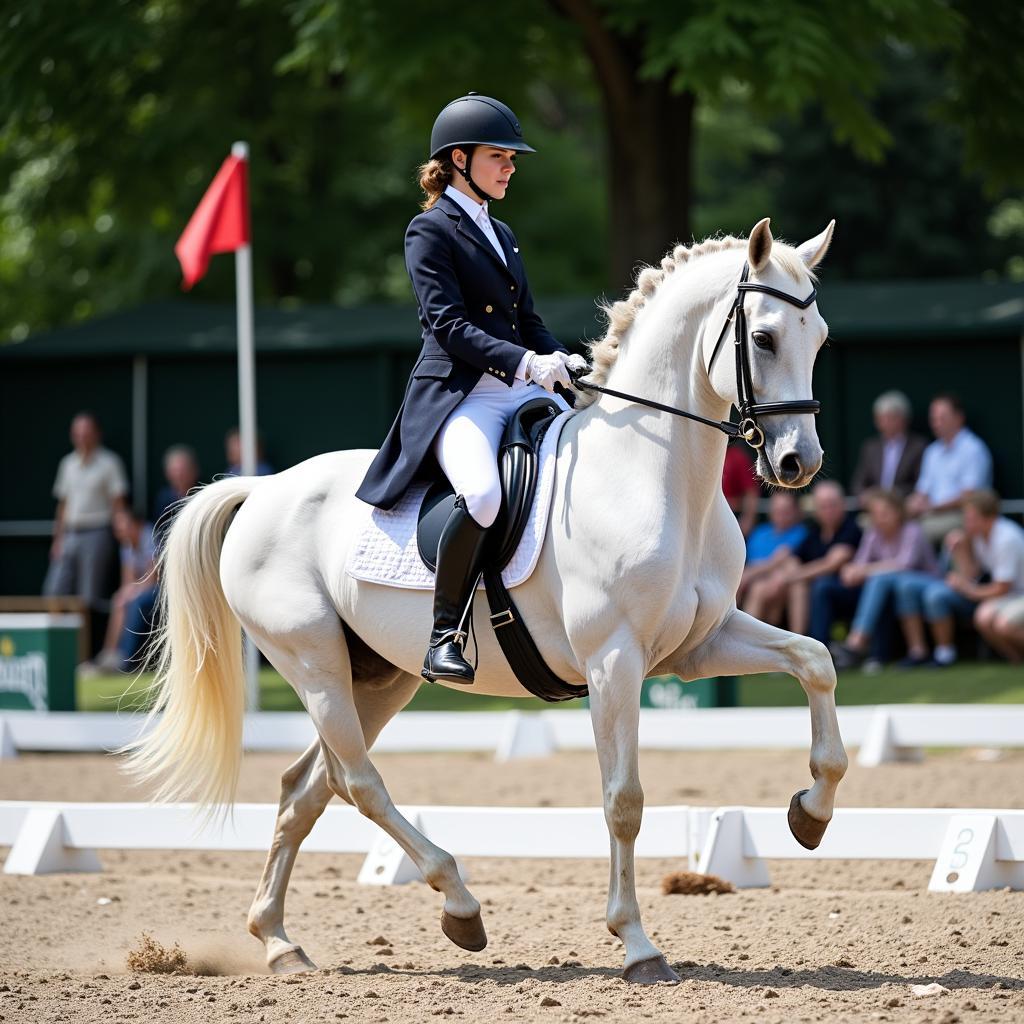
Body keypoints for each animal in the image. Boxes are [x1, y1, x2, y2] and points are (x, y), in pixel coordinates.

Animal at [125, 216, 847, 983]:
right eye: (763, 337)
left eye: (821, 338)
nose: (799, 463)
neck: (654, 479)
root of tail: (263, 488)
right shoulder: (614, 661)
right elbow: (623, 800)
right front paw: (638, 945)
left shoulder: (697, 646)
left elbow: (815, 661)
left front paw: (810, 813)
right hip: (313, 664)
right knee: (357, 783)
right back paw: (459, 905)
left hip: (377, 678)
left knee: (304, 790)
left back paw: (281, 941)